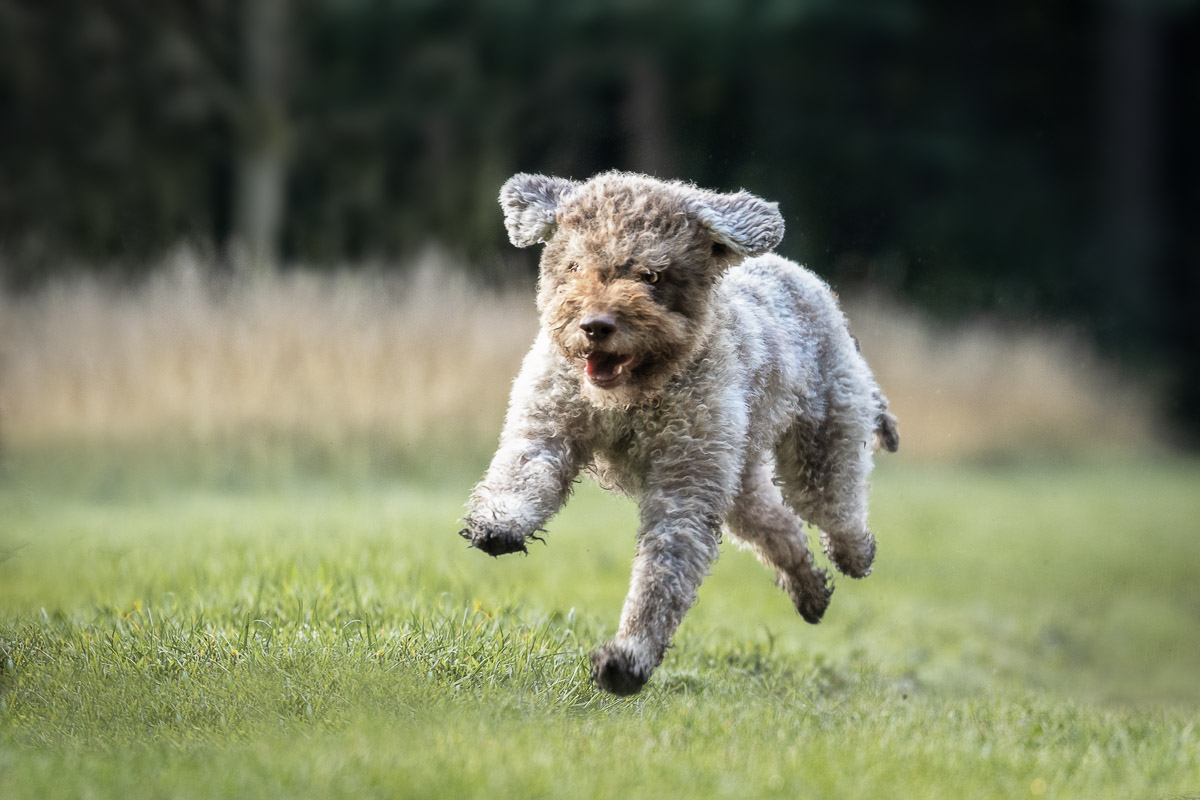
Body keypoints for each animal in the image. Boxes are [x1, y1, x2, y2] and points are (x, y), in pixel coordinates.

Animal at [463, 170, 897, 695]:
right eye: (574, 265)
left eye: (651, 275)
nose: (595, 325)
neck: (632, 395)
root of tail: (805, 278)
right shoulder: (549, 425)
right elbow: (523, 475)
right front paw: (499, 524)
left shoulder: (684, 491)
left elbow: (662, 574)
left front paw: (627, 660)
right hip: (738, 478)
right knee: (777, 525)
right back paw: (810, 591)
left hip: (819, 443)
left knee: (835, 508)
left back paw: (855, 553)